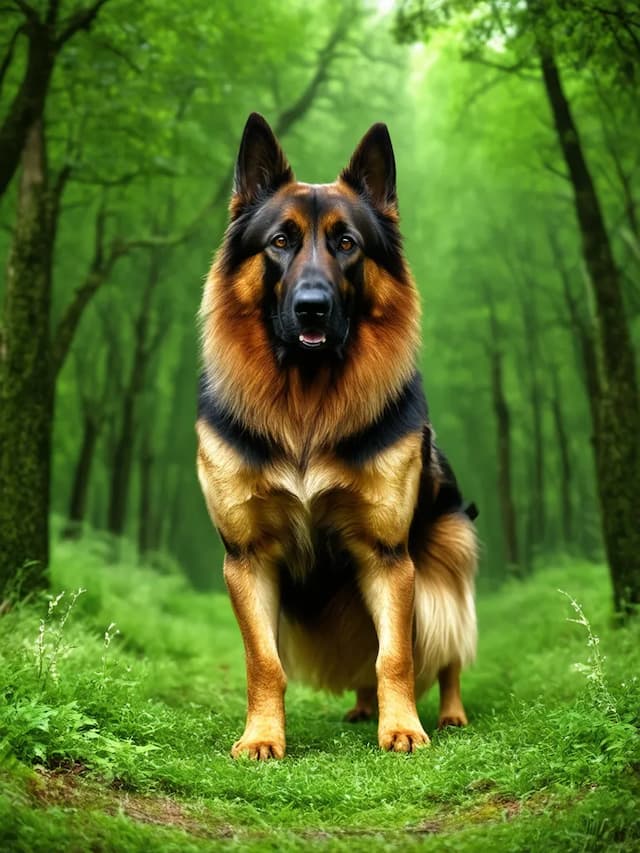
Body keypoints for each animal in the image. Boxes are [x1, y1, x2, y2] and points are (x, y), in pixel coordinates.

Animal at [198, 113, 478, 760]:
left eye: (346, 244)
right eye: (280, 242)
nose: (312, 308)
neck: (307, 405)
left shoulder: (387, 557)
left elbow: (396, 656)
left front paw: (403, 729)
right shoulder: (248, 559)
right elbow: (264, 662)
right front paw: (262, 738)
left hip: (446, 563)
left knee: (446, 653)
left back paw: (449, 713)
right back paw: (361, 707)